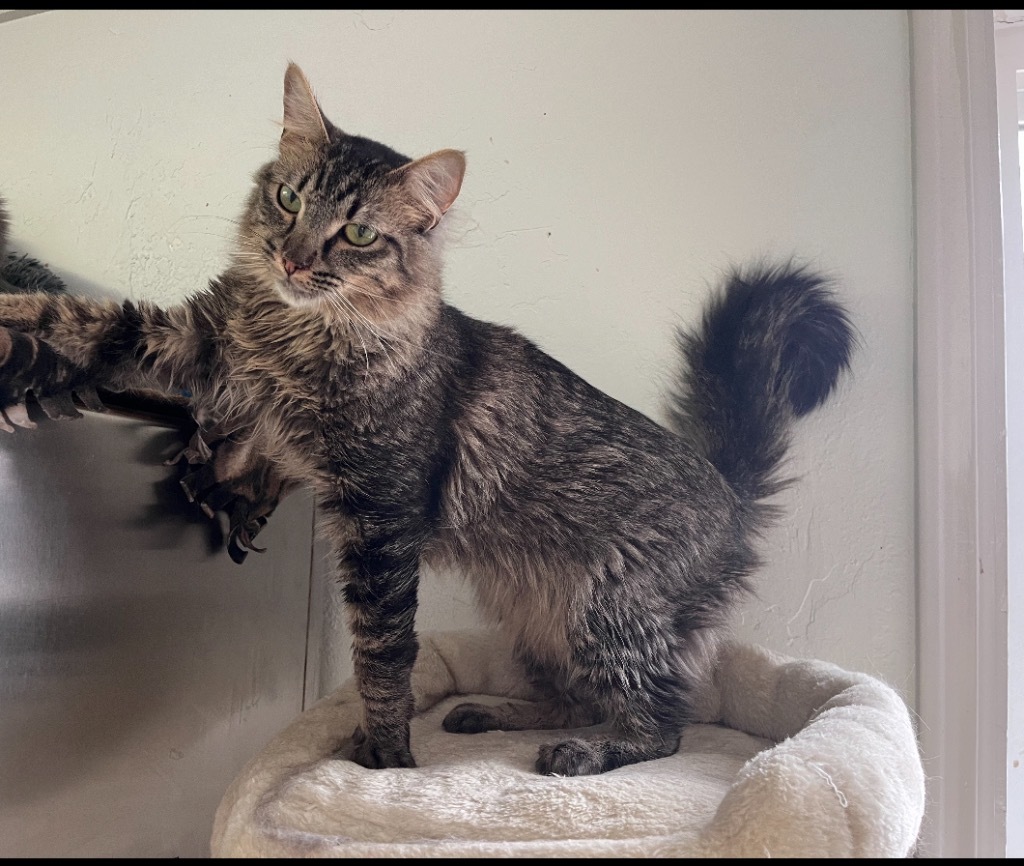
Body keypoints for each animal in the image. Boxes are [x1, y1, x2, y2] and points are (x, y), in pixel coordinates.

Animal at [0, 64, 851, 777]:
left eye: (358, 234)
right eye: (289, 200)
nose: (293, 261)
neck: (294, 336)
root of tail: (727, 487)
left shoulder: (380, 517)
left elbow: (382, 653)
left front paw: (381, 755)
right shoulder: (197, 341)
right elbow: (81, 321)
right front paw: (17, 327)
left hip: (606, 612)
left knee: (665, 720)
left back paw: (584, 753)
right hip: (534, 616)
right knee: (576, 695)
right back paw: (492, 714)